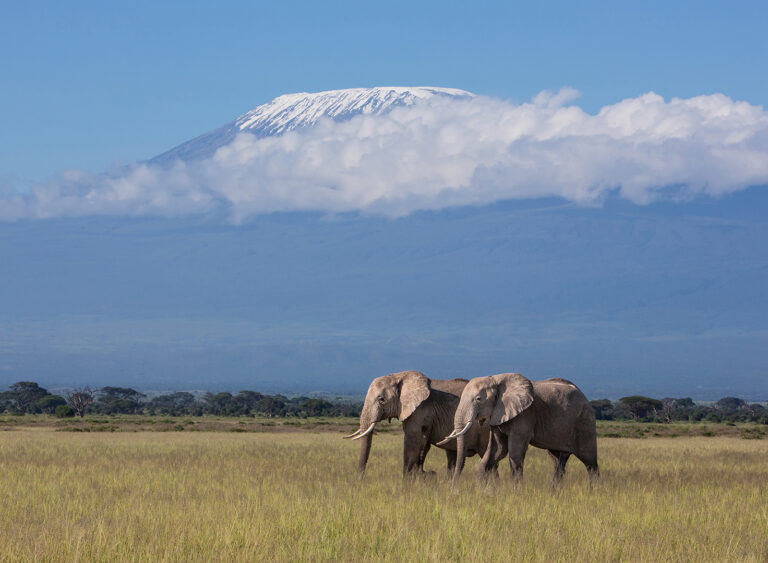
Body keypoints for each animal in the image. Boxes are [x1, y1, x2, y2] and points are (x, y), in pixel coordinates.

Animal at [343, 371, 492, 477]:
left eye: (381, 399)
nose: (361, 479)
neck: (399, 376)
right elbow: (423, 445)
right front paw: (422, 475)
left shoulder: (420, 410)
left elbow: (413, 441)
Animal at [438, 373, 598, 482]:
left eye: (478, 399)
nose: (453, 487)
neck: (496, 380)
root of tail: (585, 398)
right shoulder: (497, 416)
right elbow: (496, 451)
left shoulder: (525, 415)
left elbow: (514, 454)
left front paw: (516, 493)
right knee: (558, 461)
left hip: (585, 423)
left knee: (590, 461)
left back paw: (593, 492)